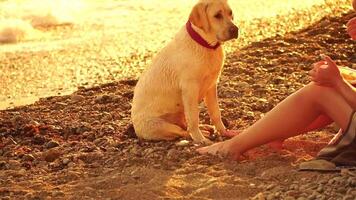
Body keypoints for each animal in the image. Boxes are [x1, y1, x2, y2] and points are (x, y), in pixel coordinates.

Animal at [131, 0, 239, 144]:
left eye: (230, 13)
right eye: (217, 15)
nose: (235, 30)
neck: (206, 45)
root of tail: (136, 130)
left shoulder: (211, 85)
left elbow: (216, 112)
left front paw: (224, 132)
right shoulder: (190, 89)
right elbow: (194, 118)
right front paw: (201, 139)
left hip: (180, 113)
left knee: (184, 125)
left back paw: (205, 128)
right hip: (160, 125)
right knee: (182, 131)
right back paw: (201, 133)